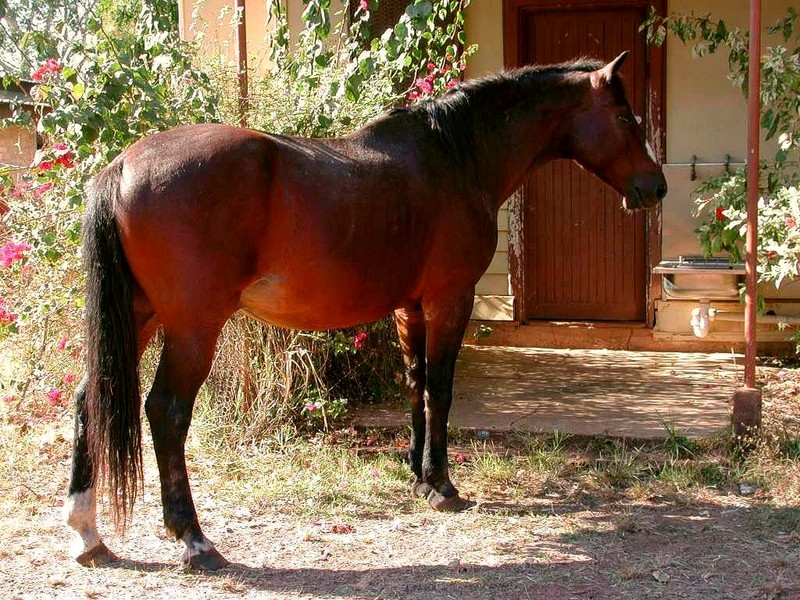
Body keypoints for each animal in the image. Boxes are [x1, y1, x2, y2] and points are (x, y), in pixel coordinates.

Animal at [62, 50, 664, 568]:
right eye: (625, 116)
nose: (655, 187)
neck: (456, 155)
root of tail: (122, 165)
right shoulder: (450, 299)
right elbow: (441, 389)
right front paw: (443, 486)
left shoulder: (410, 309)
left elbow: (416, 385)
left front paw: (419, 475)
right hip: (192, 328)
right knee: (166, 411)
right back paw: (193, 538)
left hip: (139, 316)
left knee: (90, 397)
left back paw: (87, 532)